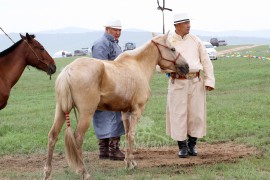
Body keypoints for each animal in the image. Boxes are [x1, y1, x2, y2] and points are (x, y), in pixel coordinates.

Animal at [43, 31, 189, 179]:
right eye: (173, 49)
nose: (186, 66)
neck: (138, 66)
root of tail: (68, 70)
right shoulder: (137, 110)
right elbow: (131, 135)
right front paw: (130, 164)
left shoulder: (125, 112)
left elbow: (127, 133)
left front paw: (129, 162)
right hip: (86, 113)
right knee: (77, 138)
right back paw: (84, 172)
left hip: (61, 111)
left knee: (52, 136)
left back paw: (47, 172)